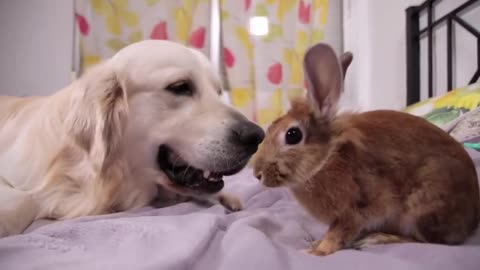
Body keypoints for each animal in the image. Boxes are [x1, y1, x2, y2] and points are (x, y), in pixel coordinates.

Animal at [253, 43, 478, 256]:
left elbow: (339, 233)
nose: (257, 173)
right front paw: (316, 243)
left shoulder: (355, 210)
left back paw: (378, 239)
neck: (327, 159)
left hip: (423, 207)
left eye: (292, 135)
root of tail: (471, 224)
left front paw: (317, 251)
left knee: (427, 241)